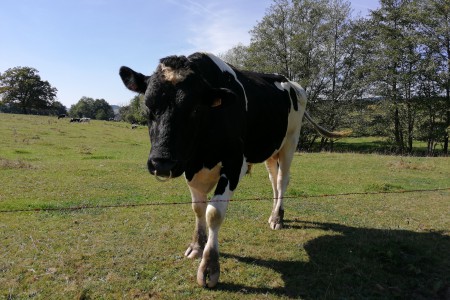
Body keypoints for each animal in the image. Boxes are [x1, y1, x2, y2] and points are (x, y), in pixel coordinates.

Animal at [119, 52, 348, 288]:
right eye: (147, 106)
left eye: (194, 109)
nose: (161, 163)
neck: (202, 154)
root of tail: (290, 82)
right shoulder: (190, 166)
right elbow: (198, 208)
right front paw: (197, 246)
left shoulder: (234, 163)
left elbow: (213, 212)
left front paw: (209, 267)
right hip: (269, 149)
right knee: (273, 180)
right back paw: (274, 214)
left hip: (290, 141)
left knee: (283, 180)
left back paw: (277, 218)